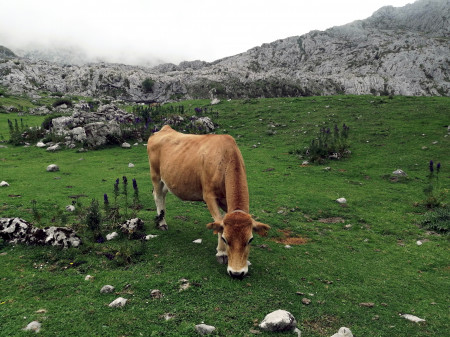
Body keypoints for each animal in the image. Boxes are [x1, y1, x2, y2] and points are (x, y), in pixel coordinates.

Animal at [148, 124, 268, 276]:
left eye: (250, 239)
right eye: (225, 239)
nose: (237, 273)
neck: (225, 158)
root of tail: (165, 128)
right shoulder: (209, 196)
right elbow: (218, 220)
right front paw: (221, 253)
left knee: (161, 195)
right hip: (155, 175)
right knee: (157, 196)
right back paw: (162, 223)